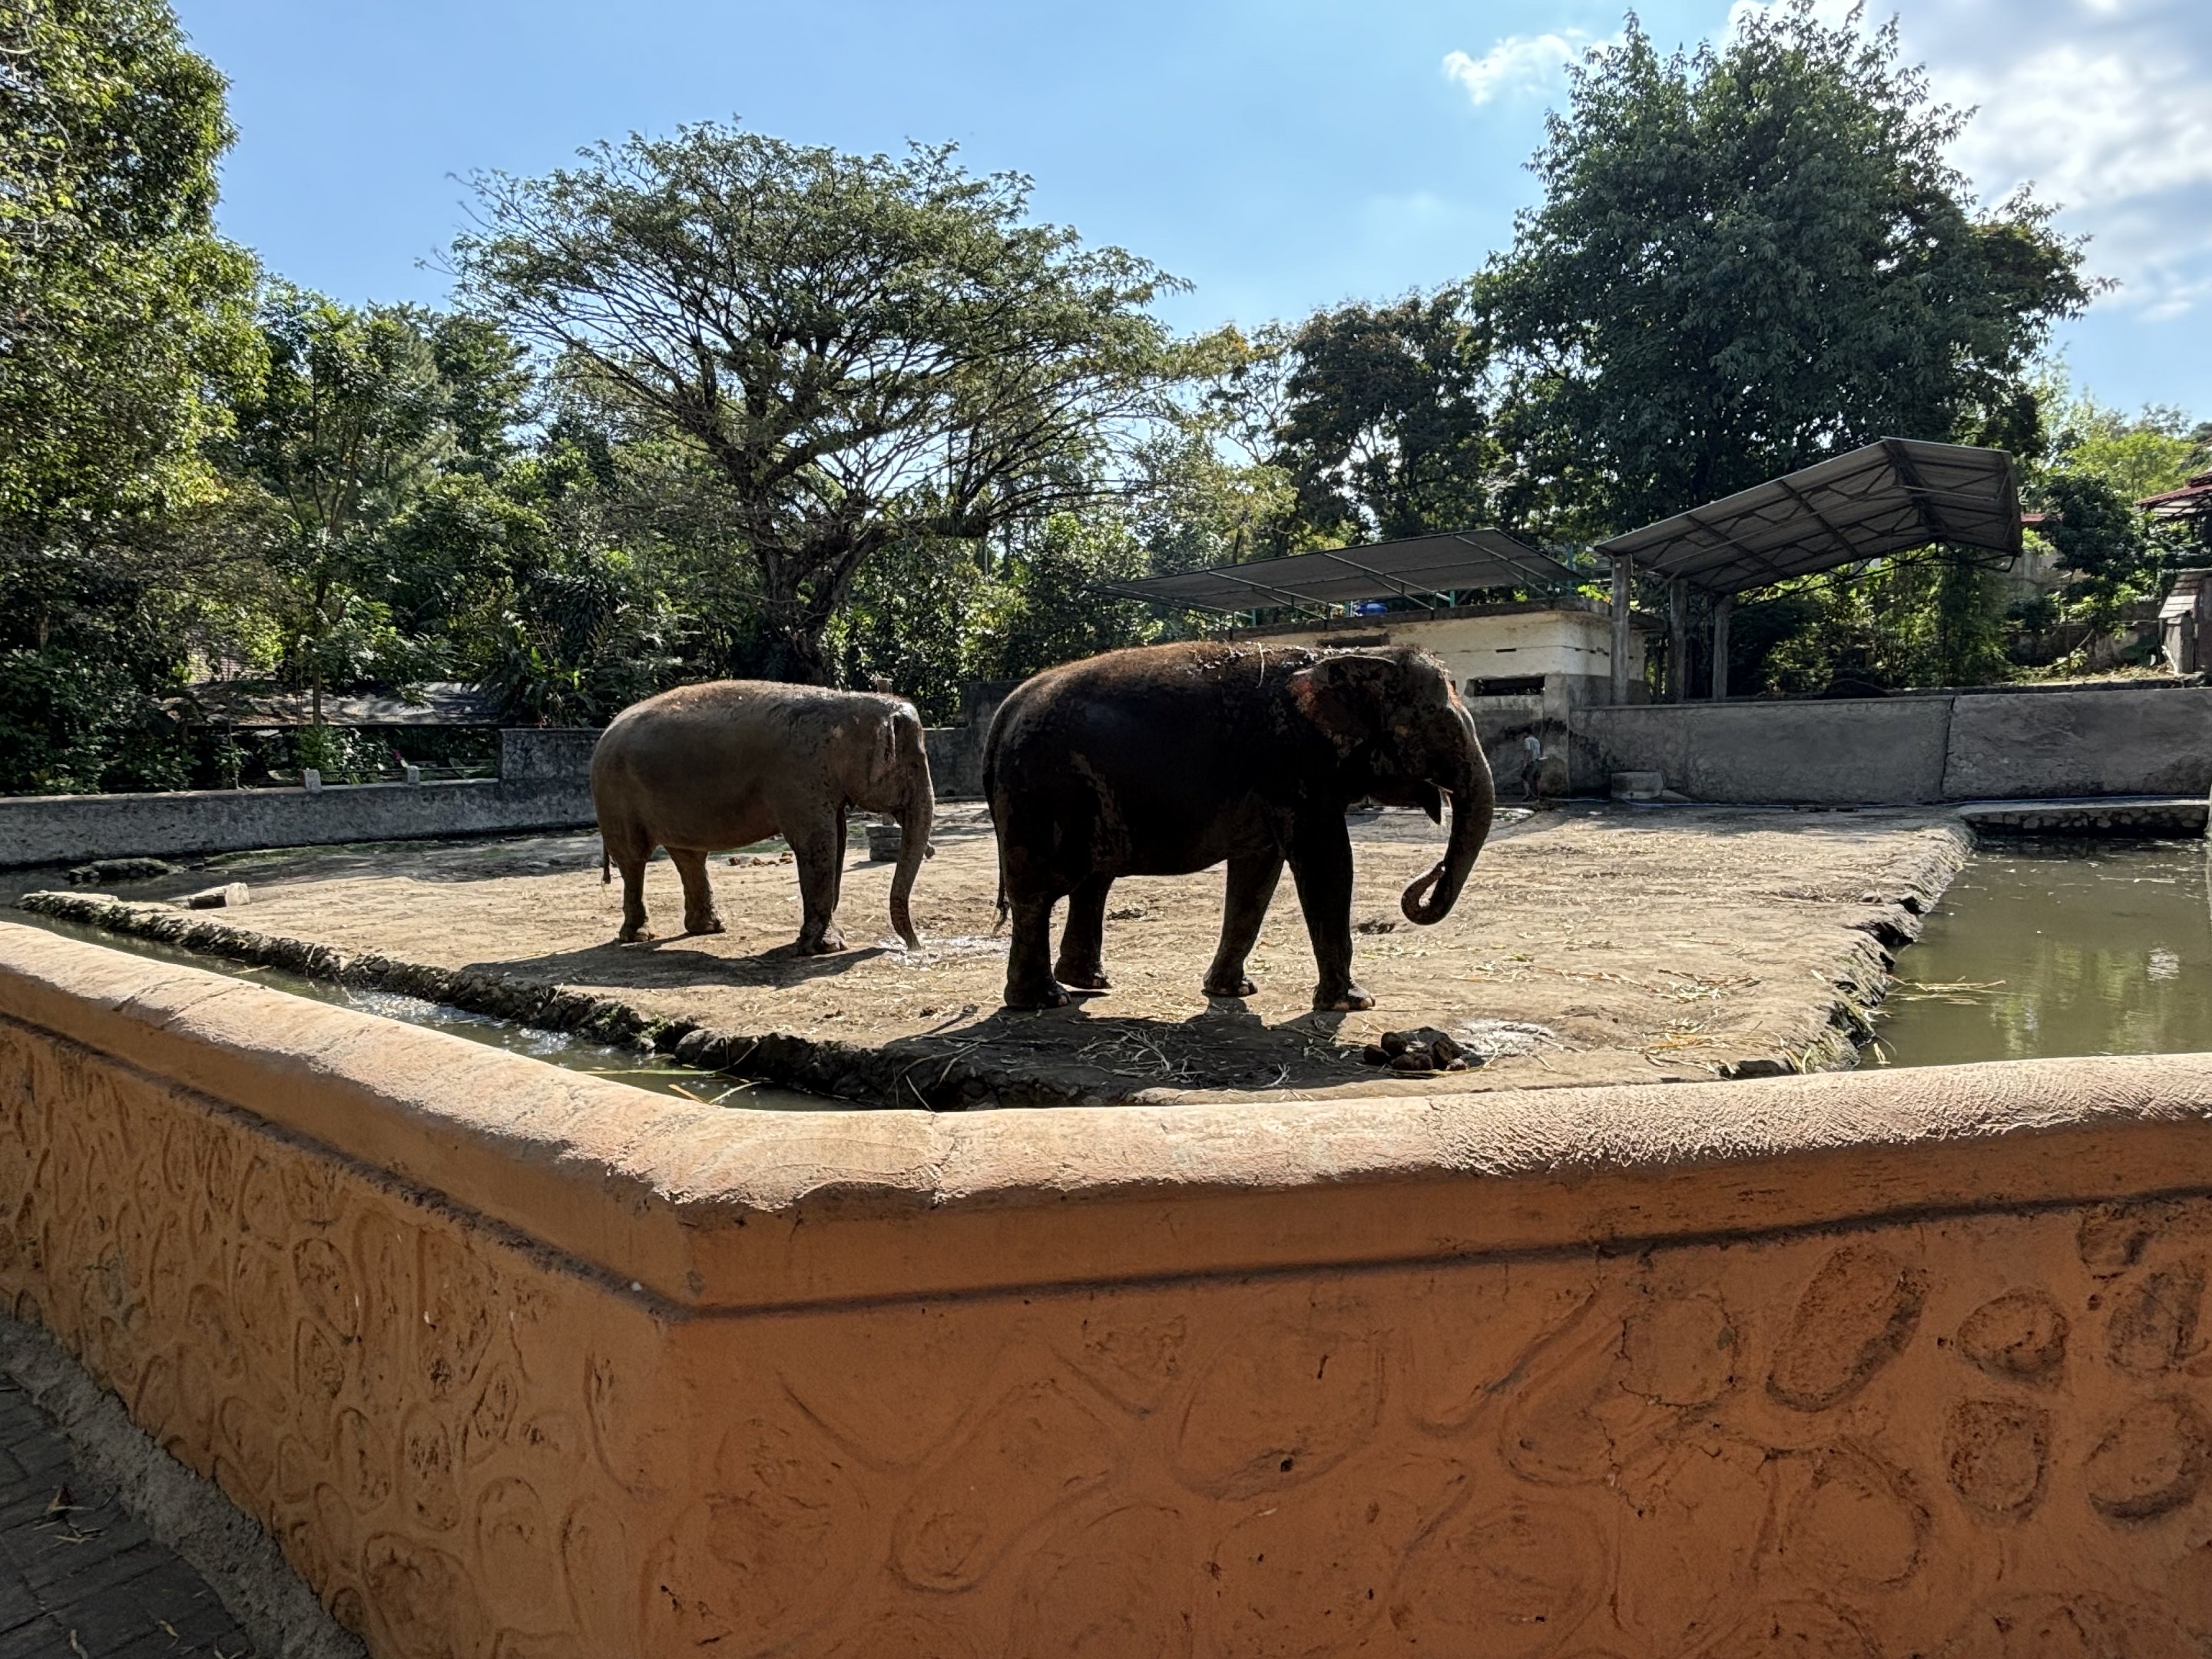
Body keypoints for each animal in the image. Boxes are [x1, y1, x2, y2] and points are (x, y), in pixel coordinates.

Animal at [591, 680, 935, 953]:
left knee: (689, 856)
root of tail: (606, 730)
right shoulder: (799, 775)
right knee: (634, 859)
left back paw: (709, 928)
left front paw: (825, 940)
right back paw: (637, 937)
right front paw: (824, 948)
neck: (849, 705)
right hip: (614, 795)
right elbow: (817, 843)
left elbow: (836, 841)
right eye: (914, 765)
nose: (915, 947)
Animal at [984, 640, 1495, 1011]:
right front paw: (1353, 1003)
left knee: (1093, 881)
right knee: (1040, 892)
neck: (1347, 656)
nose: (1428, 877)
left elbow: (1258, 872)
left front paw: (1235, 992)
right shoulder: (1292, 763)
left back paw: (1088, 983)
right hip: (1042, 790)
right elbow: (1326, 861)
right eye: (1434, 726)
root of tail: (1005, 709)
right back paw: (1043, 1001)